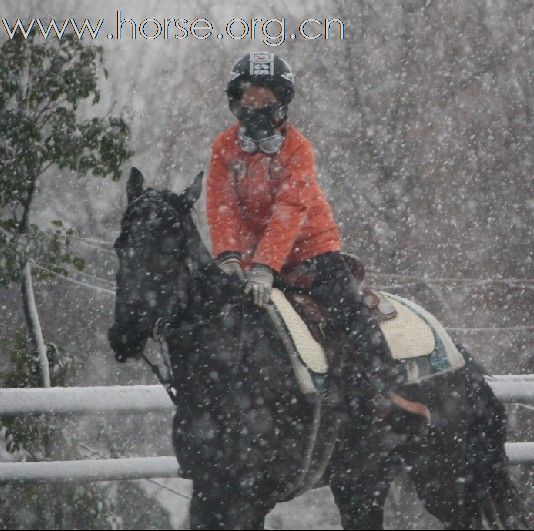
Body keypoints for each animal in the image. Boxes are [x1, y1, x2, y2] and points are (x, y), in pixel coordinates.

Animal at [109, 168, 528, 528]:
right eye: (121, 243)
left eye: (170, 248)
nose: (125, 331)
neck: (233, 365)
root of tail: (464, 362)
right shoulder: (209, 490)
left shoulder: (246, 496)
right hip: (362, 481)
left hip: (444, 478)